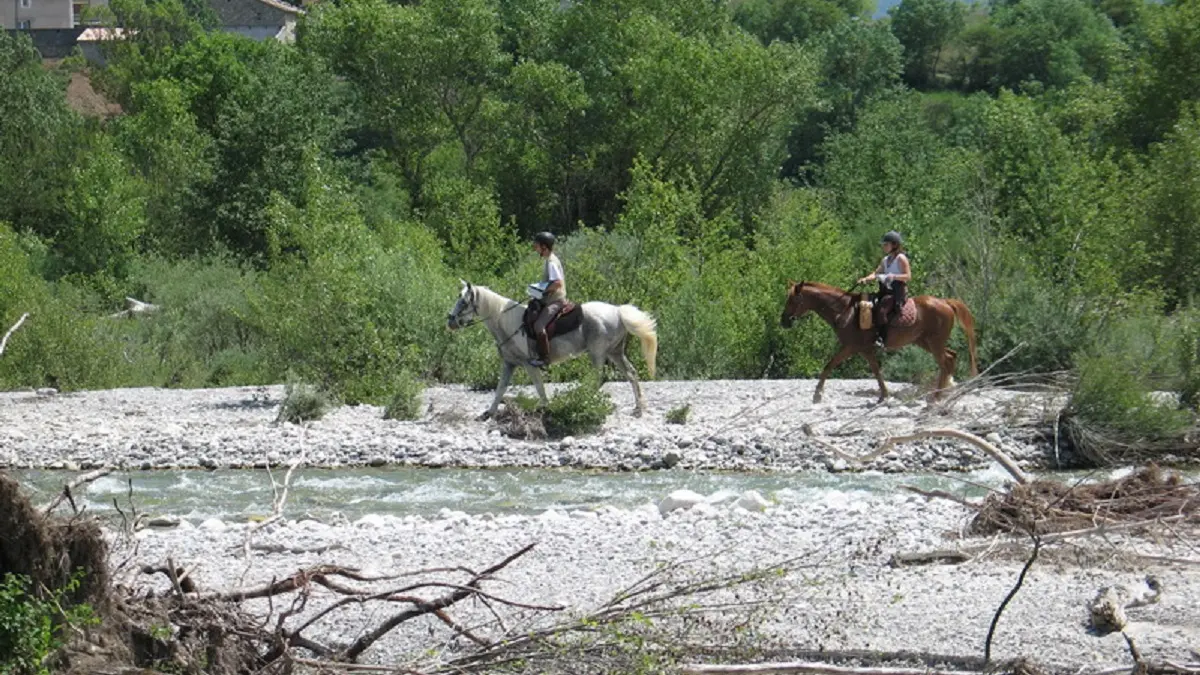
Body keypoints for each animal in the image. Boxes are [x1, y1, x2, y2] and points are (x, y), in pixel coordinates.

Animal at [446, 277, 662, 415]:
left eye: (463, 301)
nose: (450, 321)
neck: (507, 323)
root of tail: (617, 311)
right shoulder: (509, 363)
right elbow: (500, 388)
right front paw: (490, 411)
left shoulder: (529, 364)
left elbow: (539, 387)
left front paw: (545, 406)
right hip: (615, 352)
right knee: (631, 373)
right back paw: (638, 407)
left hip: (598, 353)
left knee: (599, 378)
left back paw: (583, 401)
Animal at [782, 279, 979, 401]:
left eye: (792, 300)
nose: (783, 321)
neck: (845, 311)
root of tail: (945, 302)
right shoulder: (866, 349)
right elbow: (876, 371)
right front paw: (884, 395)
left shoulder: (851, 347)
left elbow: (830, 364)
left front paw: (817, 395)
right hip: (925, 342)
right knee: (951, 356)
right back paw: (947, 389)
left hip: (934, 342)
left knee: (945, 362)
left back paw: (938, 396)